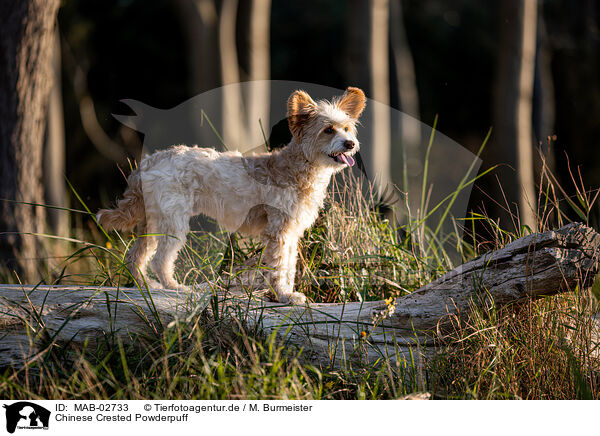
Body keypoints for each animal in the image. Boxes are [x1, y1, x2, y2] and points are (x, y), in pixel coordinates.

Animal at [98, 85, 366, 304]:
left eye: (346, 128)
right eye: (328, 130)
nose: (350, 143)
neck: (298, 167)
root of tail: (149, 162)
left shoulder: (291, 233)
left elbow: (289, 266)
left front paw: (287, 293)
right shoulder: (279, 231)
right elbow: (279, 267)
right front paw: (283, 295)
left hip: (153, 223)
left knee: (135, 256)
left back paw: (145, 285)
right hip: (173, 223)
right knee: (159, 259)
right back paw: (174, 287)